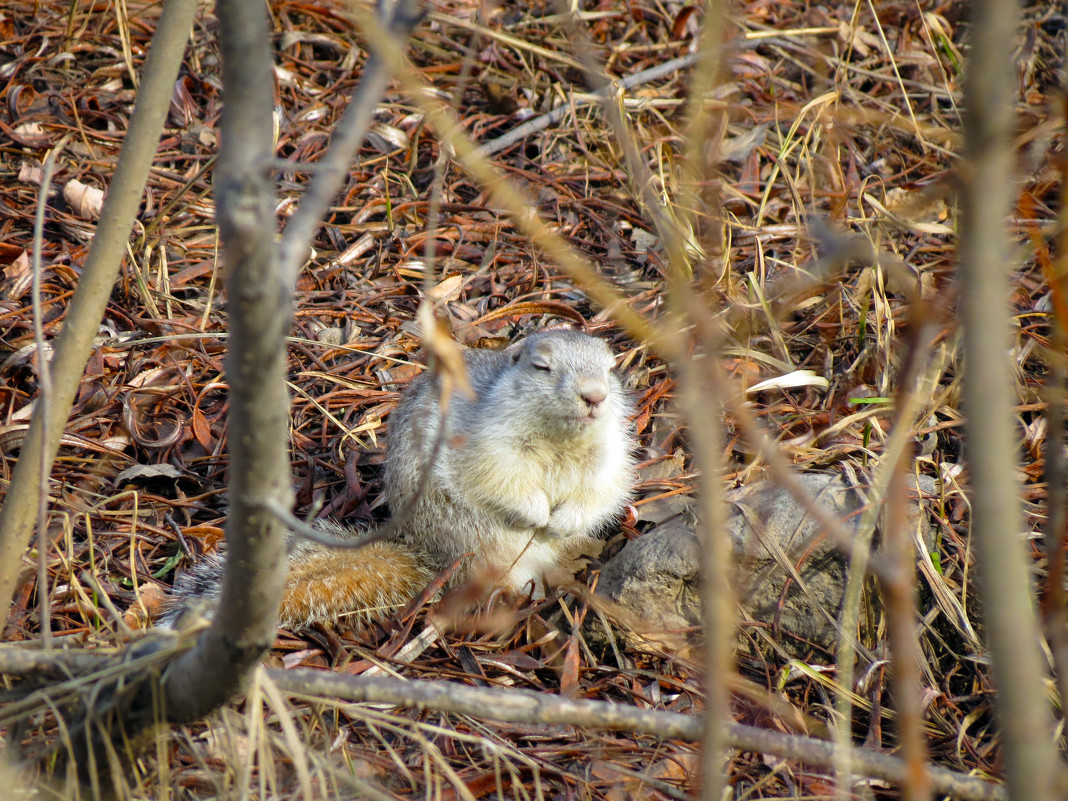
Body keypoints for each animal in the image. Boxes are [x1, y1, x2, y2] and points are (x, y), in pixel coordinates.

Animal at [160, 328, 632, 632]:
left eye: (610, 368)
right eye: (541, 366)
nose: (595, 396)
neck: (561, 438)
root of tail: (431, 556)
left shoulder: (609, 454)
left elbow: (601, 491)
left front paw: (563, 520)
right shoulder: (488, 445)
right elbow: (501, 480)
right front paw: (536, 512)